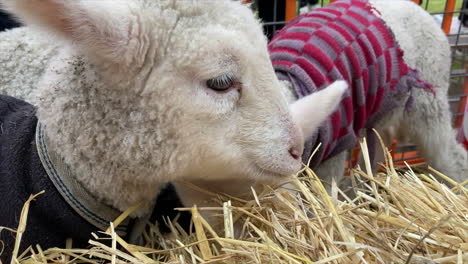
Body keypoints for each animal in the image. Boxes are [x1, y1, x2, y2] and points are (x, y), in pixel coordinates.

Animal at [0, 0, 466, 238]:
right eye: (221, 81)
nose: (294, 148)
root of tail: (409, 5)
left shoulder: (331, 154)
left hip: (429, 102)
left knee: (452, 156)